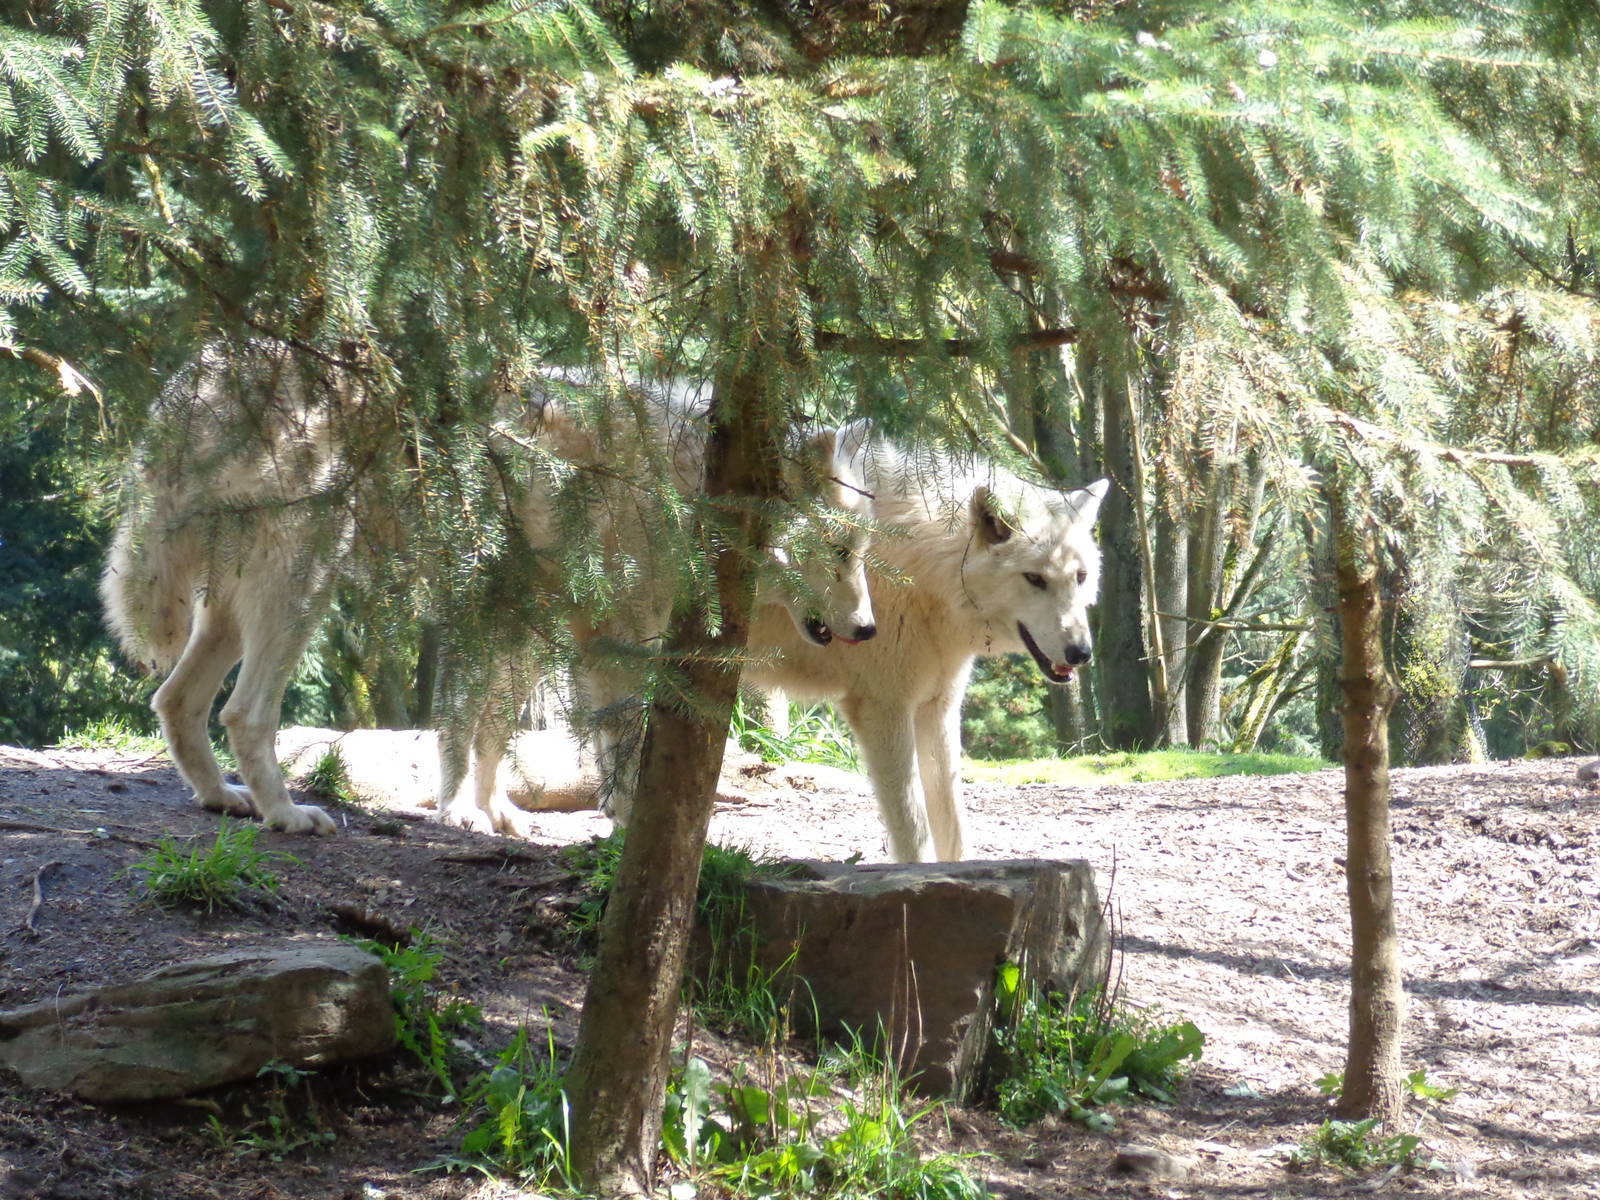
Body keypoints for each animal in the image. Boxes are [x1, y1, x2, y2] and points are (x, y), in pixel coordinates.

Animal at [102, 346, 876, 837]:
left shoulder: (520, 617)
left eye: (863, 553)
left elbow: (491, 729)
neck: (682, 486)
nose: (869, 629)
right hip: (302, 590)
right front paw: (620, 823)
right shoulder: (601, 638)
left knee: (174, 700)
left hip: (235, 613)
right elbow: (603, 741)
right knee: (243, 713)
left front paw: (492, 814)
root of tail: (198, 375)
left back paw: (220, 799)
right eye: (840, 551)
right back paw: (286, 816)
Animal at [744, 427, 1108, 862]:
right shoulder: (884, 708)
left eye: (1080, 577)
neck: (923, 570)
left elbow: (953, 828)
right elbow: (913, 834)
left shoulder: (938, 706)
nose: (1081, 654)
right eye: (1035, 579)